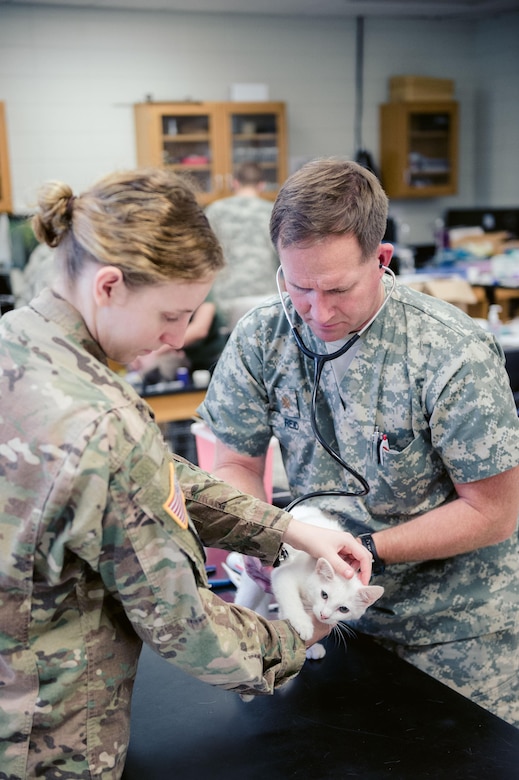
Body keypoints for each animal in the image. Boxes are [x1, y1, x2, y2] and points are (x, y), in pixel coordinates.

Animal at [270, 506, 384, 660]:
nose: (324, 615)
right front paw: (302, 623)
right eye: (324, 595)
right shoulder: (283, 575)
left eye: (343, 609)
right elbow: (291, 600)